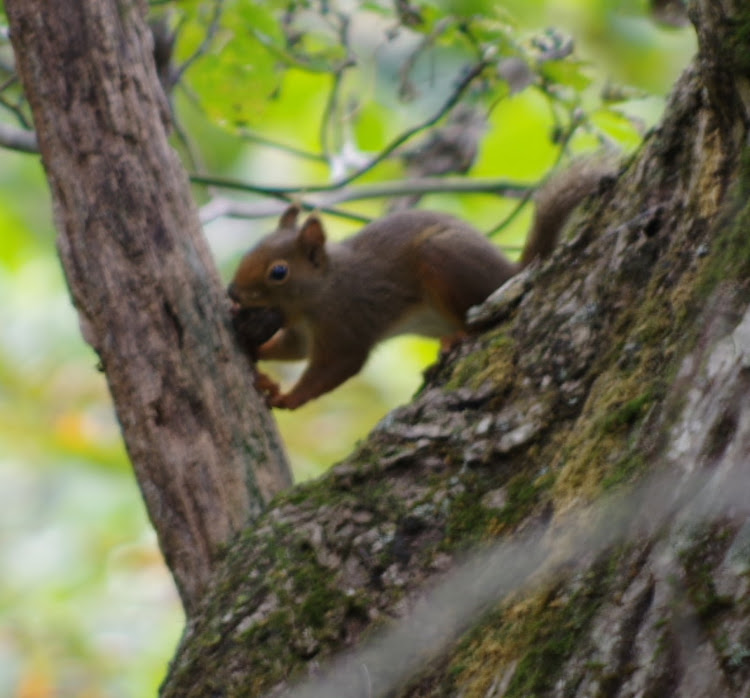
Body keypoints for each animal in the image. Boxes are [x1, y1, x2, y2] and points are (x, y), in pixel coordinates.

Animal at [228, 162, 612, 408]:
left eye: (279, 272)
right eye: (252, 248)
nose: (231, 293)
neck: (319, 292)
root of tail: (511, 271)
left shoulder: (346, 323)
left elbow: (339, 365)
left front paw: (286, 397)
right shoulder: (301, 333)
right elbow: (293, 349)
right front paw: (255, 349)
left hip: (443, 260)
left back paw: (460, 336)